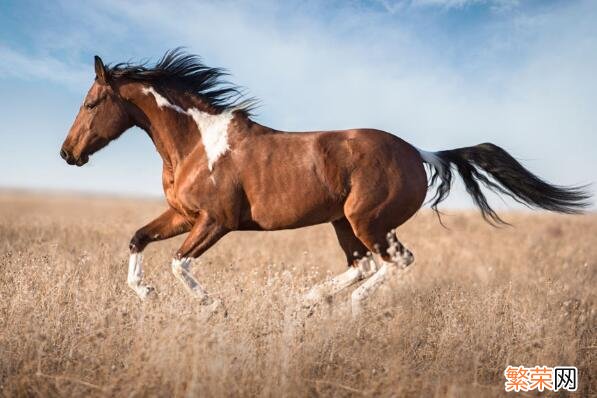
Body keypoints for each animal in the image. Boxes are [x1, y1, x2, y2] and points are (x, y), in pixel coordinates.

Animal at [58, 49, 588, 314]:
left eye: (90, 103)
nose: (67, 153)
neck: (197, 143)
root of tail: (420, 153)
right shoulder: (182, 215)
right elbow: (137, 239)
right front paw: (144, 294)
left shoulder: (216, 221)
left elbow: (178, 263)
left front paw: (212, 306)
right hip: (342, 223)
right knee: (364, 264)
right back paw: (309, 299)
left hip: (367, 220)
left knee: (394, 262)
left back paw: (348, 307)